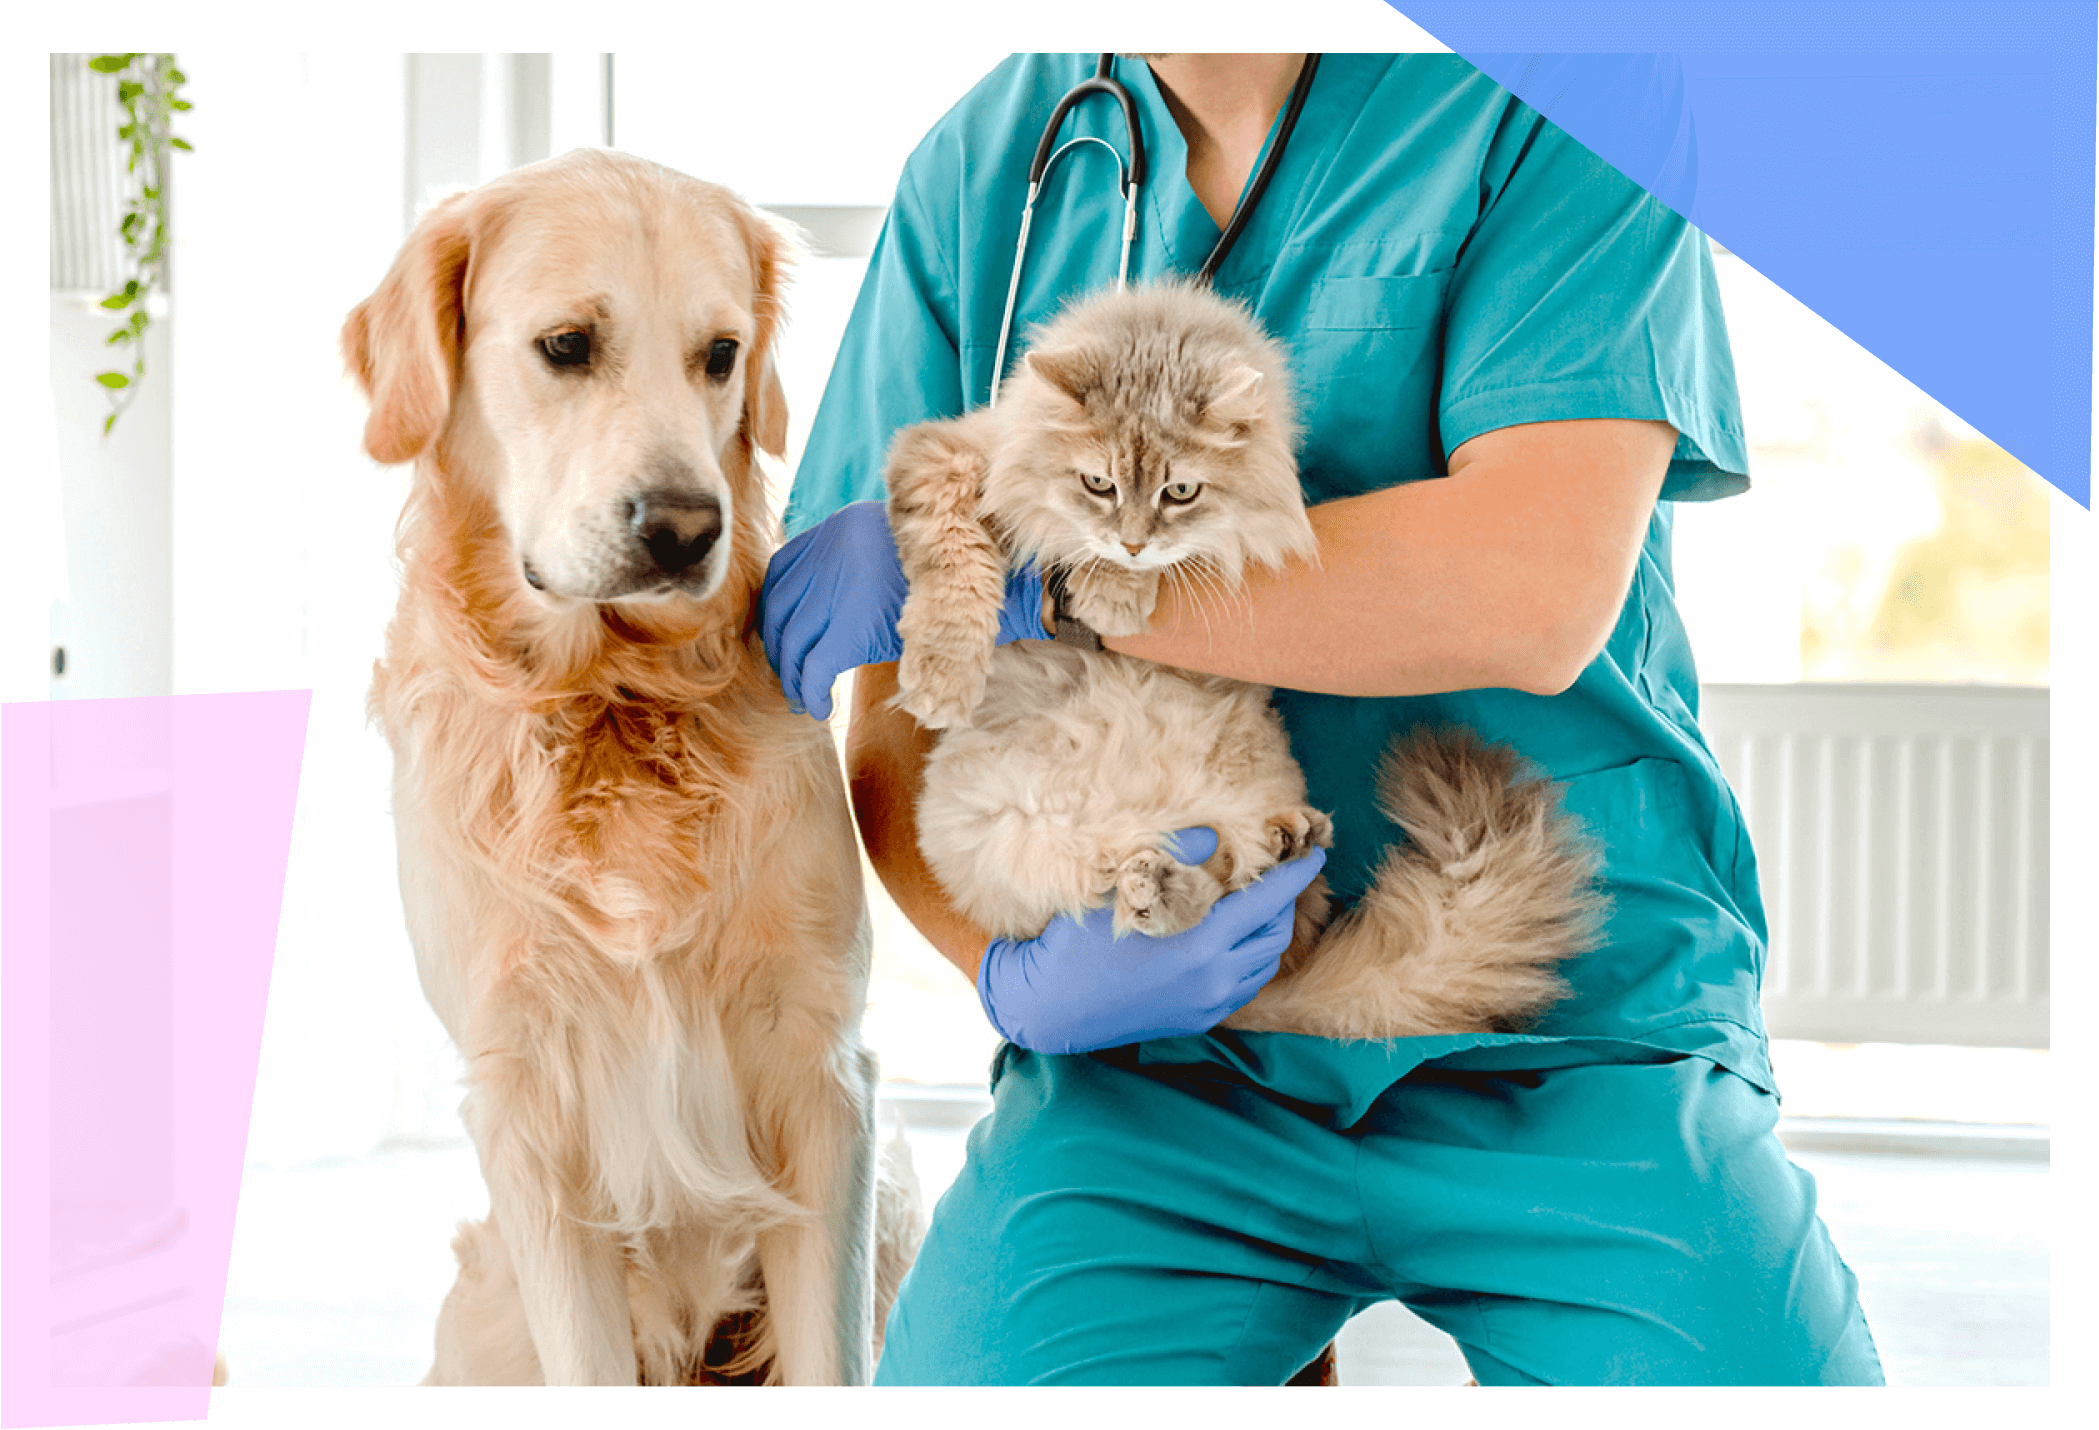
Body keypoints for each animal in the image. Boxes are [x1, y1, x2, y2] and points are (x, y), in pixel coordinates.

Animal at [340, 148, 915, 1385]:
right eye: (566, 344)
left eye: (722, 353)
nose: (685, 528)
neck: (611, 702)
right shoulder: (525, 1107)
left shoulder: (822, 1074)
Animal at [877, 283, 1595, 1037]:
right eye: (1099, 483)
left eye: (1179, 492)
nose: (1133, 544)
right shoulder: (948, 455)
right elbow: (957, 564)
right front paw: (944, 675)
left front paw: (1115, 591)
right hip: (1008, 843)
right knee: (1155, 902)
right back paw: (1179, 888)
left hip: (1244, 839)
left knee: (1234, 891)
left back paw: (1249, 855)